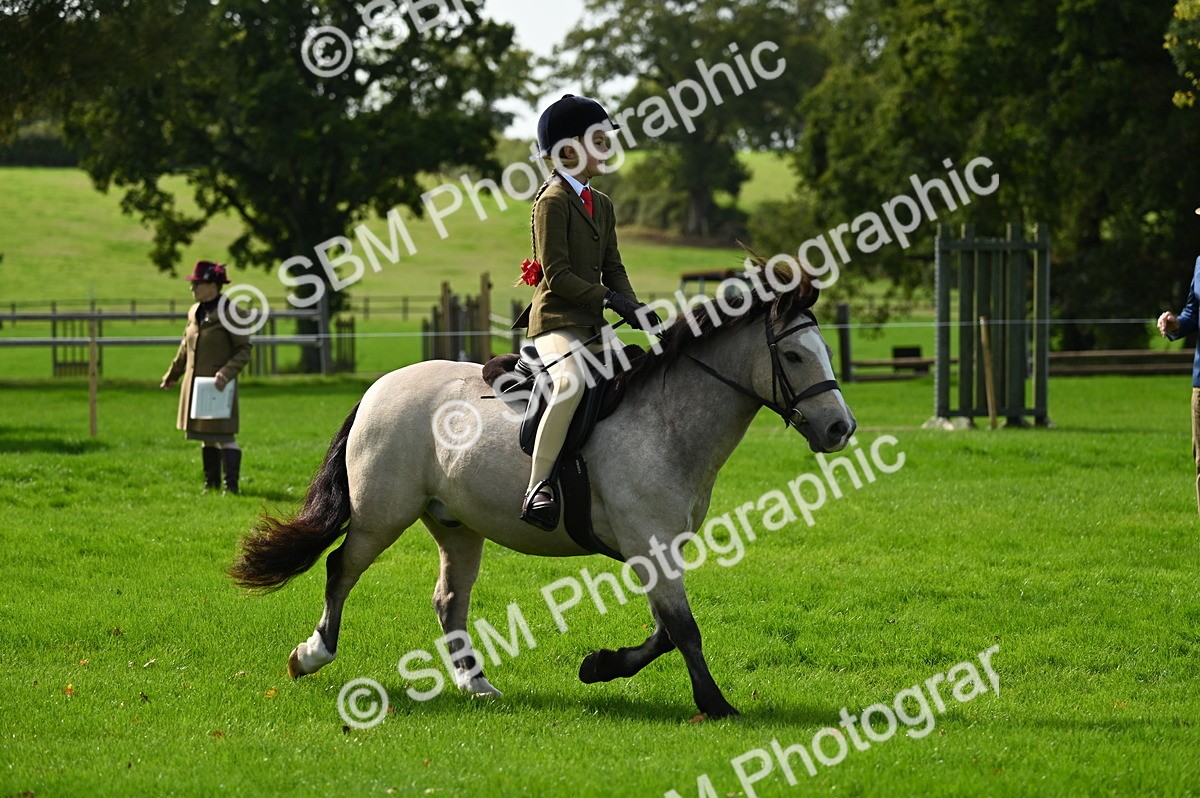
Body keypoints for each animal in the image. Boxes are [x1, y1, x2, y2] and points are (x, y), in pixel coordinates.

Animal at [230, 265, 857, 719]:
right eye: (794, 355)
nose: (840, 429)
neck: (668, 420)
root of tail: (378, 388)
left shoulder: (659, 549)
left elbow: (664, 630)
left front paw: (599, 666)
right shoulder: (648, 544)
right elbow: (682, 629)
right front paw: (715, 704)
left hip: (456, 525)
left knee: (448, 599)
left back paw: (476, 683)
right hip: (381, 514)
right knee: (342, 568)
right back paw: (311, 654)